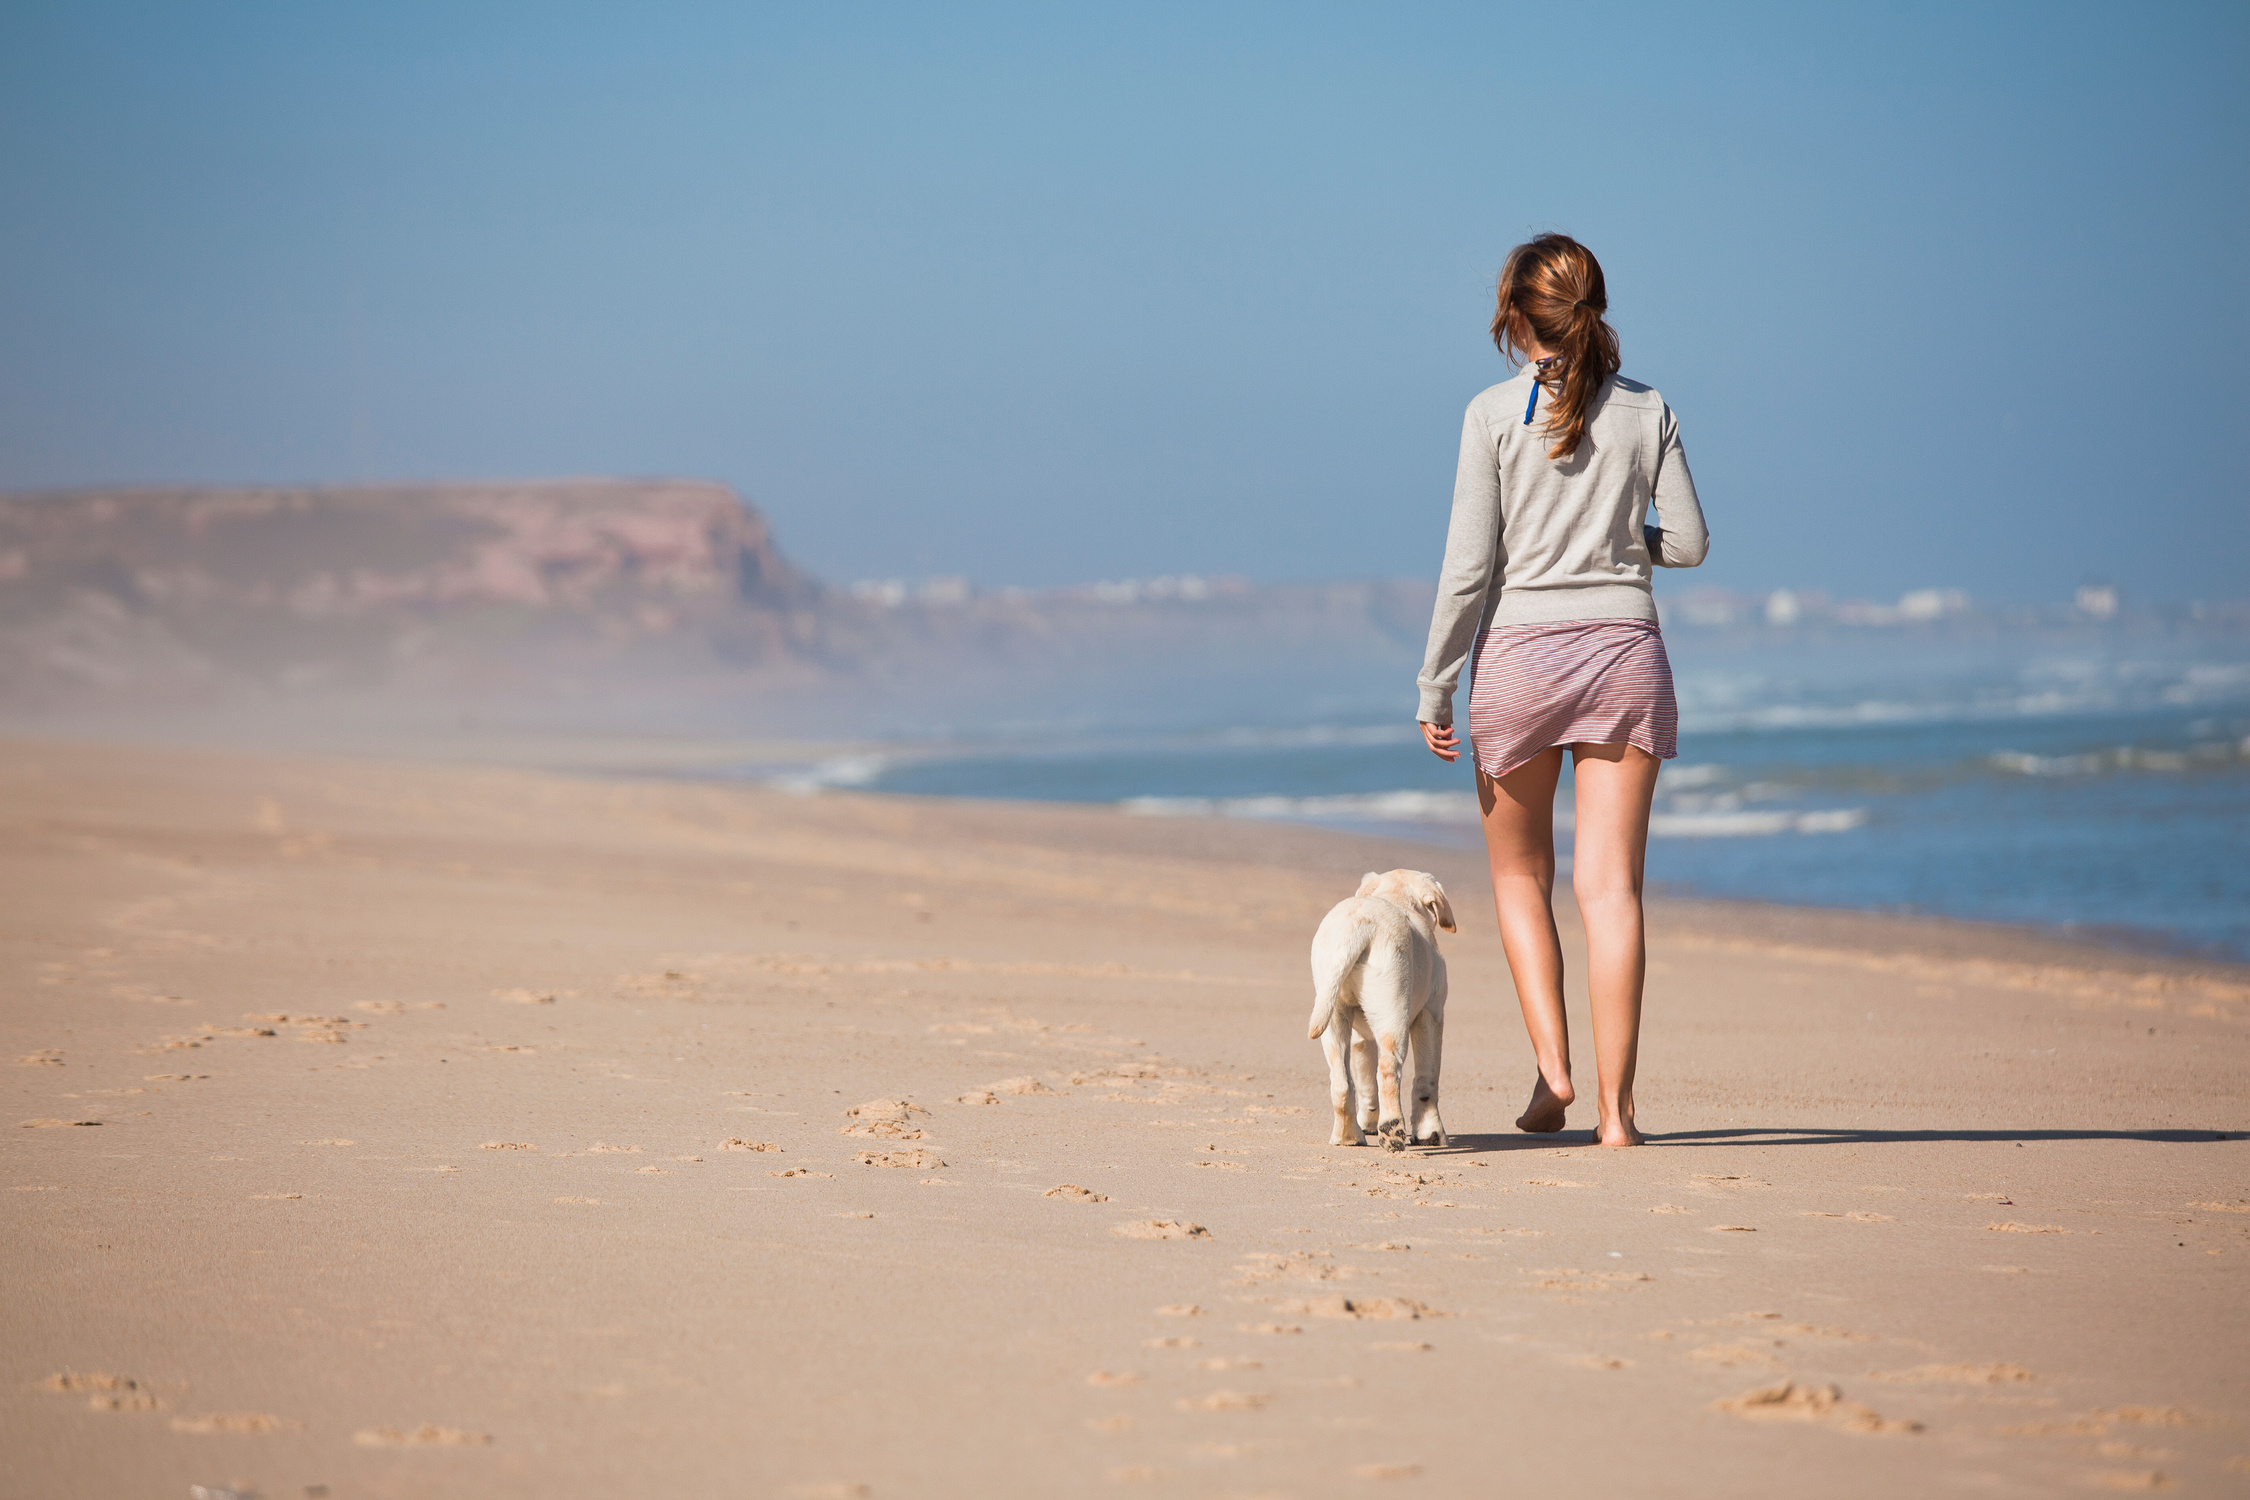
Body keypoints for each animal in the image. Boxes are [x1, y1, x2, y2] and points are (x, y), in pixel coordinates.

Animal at [1314, 868, 1449, 1151]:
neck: (1396, 897)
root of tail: (1359, 925)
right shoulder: (1431, 1015)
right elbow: (1426, 1081)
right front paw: (1430, 1134)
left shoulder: (1360, 1037)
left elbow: (1365, 1082)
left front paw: (1368, 1122)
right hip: (1393, 1013)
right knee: (1388, 1068)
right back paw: (1392, 1131)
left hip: (1333, 1013)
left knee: (1341, 1081)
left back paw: (1348, 1136)